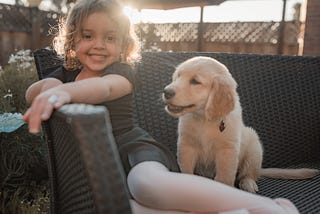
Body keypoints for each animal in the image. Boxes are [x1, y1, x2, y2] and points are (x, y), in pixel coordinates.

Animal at [164, 56, 318, 193]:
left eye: (195, 81)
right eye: (177, 77)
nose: (166, 91)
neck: (204, 119)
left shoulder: (227, 151)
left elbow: (224, 177)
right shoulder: (186, 146)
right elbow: (186, 170)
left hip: (254, 149)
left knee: (248, 174)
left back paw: (248, 184)